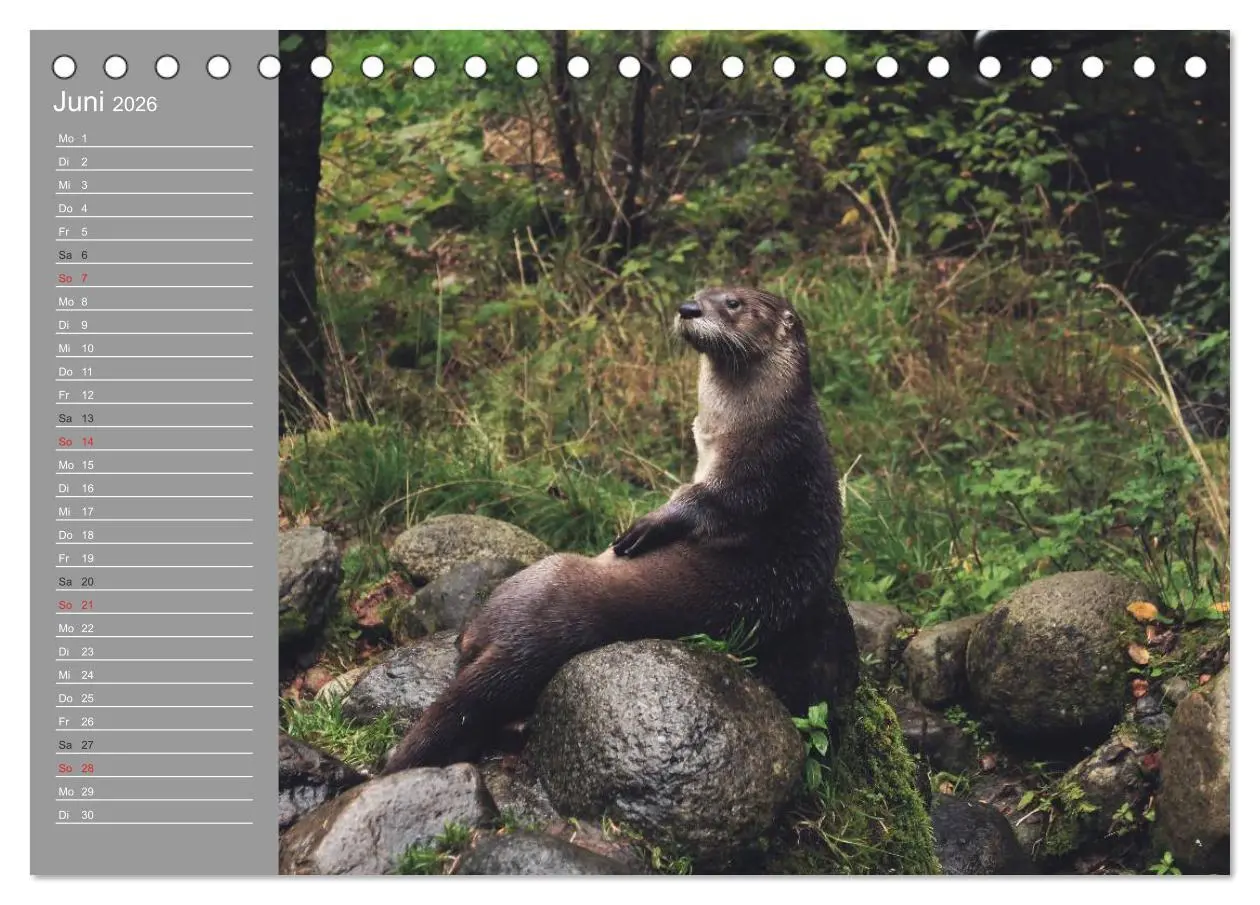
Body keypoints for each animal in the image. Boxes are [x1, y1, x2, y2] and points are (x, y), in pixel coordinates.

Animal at [381, 286, 858, 773]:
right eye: (701, 292)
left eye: (734, 303)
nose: (688, 308)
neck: (759, 422)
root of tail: (522, 644)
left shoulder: (760, 471)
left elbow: (705, 503)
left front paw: (647, 525)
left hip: (537, 578)